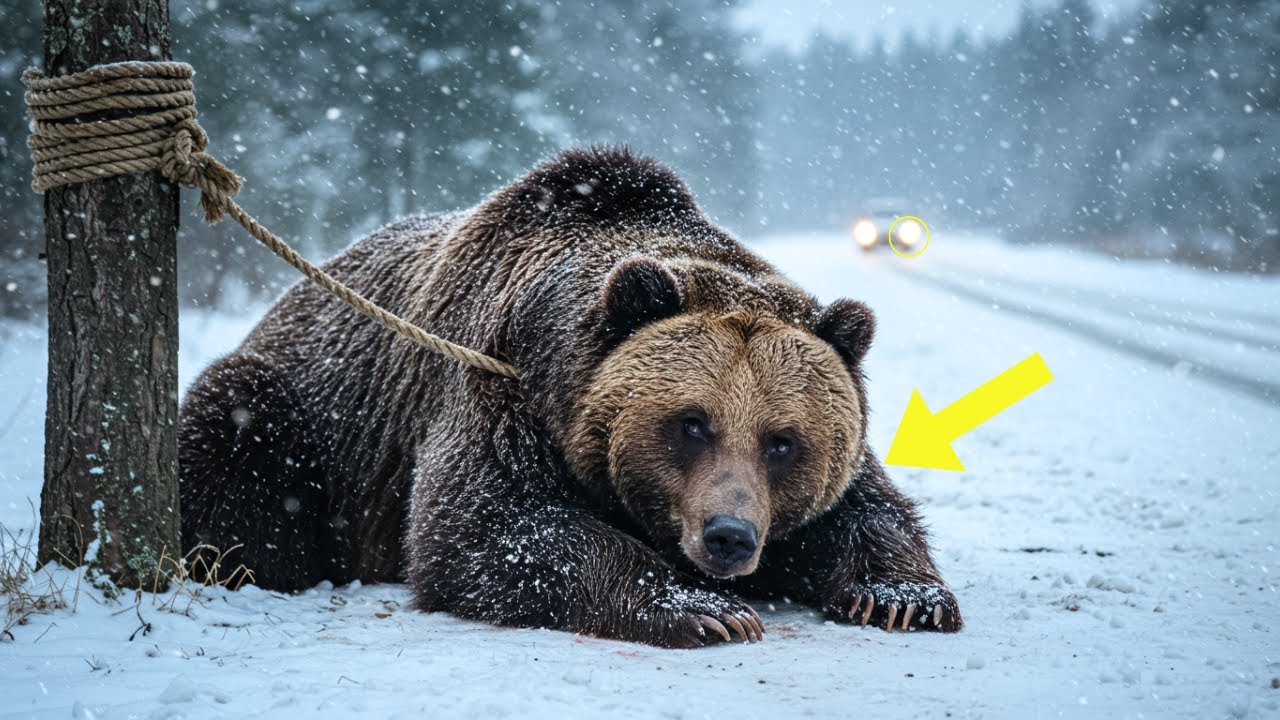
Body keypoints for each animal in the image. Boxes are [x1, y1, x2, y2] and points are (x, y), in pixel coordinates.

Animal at [178, 147, 962, 647]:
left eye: (783, 441)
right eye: (692, 424)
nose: (730, 536)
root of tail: (291, 295)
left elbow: (867, 508)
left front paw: (903, 599)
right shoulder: (501, 386)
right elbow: (490, 527)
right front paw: (706, 610)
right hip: (308, 411)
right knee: (234, 435)